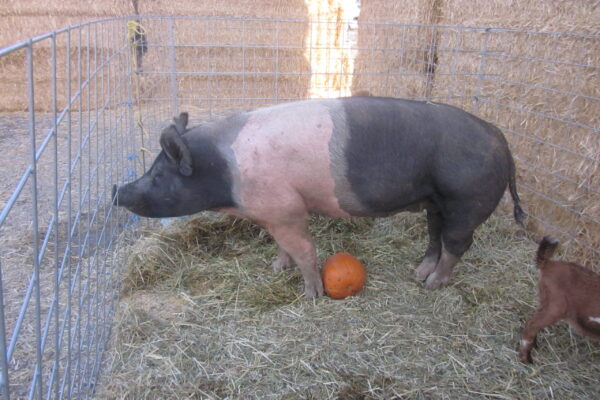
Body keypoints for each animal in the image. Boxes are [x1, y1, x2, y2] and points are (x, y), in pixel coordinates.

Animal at [113, 97, 524, 296]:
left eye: (159, 175)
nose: (118, 190)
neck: (223, 168)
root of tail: (501, 138)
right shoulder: (272, 213)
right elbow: (282, 247)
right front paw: (276, 269)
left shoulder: (287, 208)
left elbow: (305, 250)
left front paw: (311, 294)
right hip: (436, 202)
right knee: (435, 234)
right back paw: (419, 273)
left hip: (466, 200)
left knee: (458, 243)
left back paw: (433, 285)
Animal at [516, 236, 596, 364]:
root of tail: (548, 263)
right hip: (555, 307)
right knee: (531, 325)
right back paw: (526, 359)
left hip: (545, 301)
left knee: (532, 322)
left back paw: (534, 346)